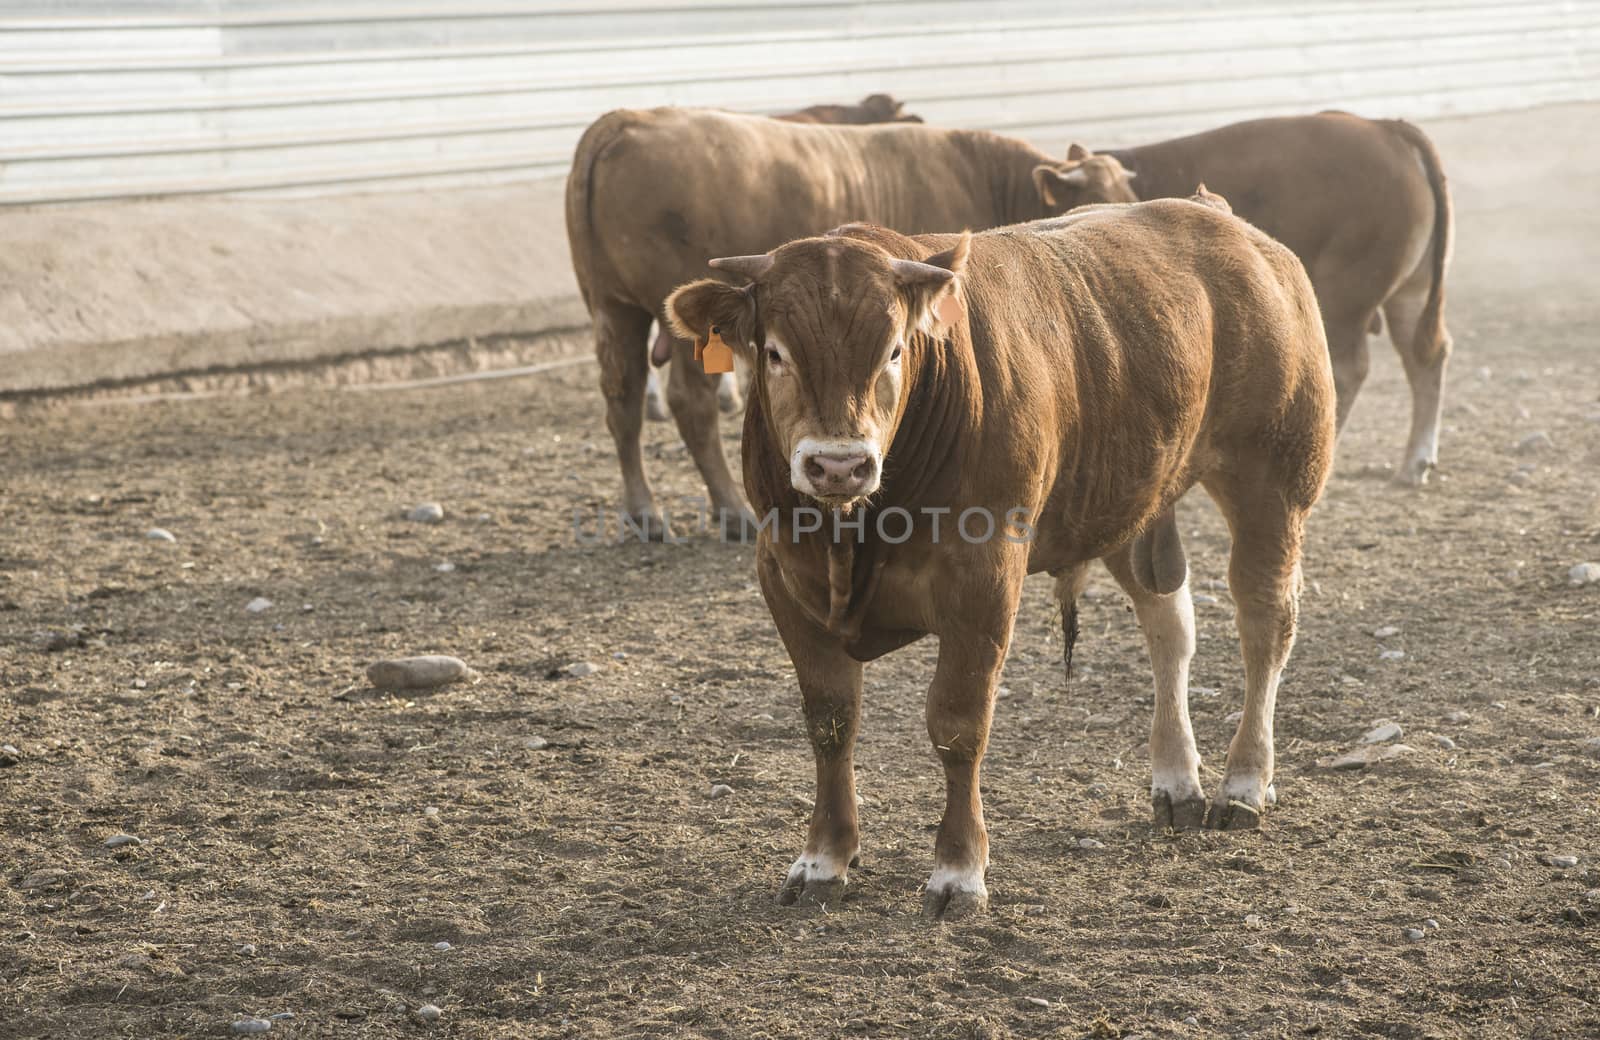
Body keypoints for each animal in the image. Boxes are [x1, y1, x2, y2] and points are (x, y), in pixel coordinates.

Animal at [563, 109, 1139, 537]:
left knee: (623, 400)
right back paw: (731, 511)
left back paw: (644, 511)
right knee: (690, 403)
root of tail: (624, 119)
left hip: (612, 309)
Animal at [665, 198, 1337, 921]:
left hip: (1274, 479)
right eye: (774, 352)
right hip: (1131, 503)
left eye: (895, 349)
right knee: (1170, 626)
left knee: (1265, 624)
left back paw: (1244, 782)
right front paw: (824, 858)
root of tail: (1227, 220)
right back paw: (1177, 781)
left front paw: (958, 872)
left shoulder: (982, 583)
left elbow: (958, 726)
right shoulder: (784, 577)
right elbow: (830, 722)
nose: (839, 465)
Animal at [1036, 111, 1452, 483]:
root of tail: (1386, 128)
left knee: (1349, 369)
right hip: (1410, 292)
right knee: (1425, 355)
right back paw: (1415, 463)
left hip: (1348, 295)